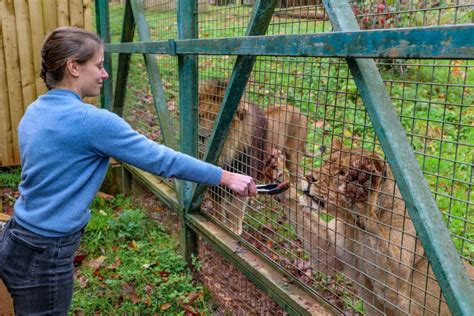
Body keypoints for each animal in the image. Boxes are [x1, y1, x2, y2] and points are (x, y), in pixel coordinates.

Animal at [197, 79, 306, 235]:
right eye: (200, 116)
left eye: (216, 119)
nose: (201, 136)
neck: (226, 152)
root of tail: (298, 109)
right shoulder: (217, 184)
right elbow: (218, 207)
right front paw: (218, 223)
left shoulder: (243, 177)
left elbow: (235, 209)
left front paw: (233, 229)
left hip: (293, 156)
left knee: (299, 175)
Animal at [300, 141, 474, 316]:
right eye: (325, 163)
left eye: (342, 173)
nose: (309, 177)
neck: (352, 227)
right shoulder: (330, 254)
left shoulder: (398, 287)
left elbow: (378, 236)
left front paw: (360, 196)